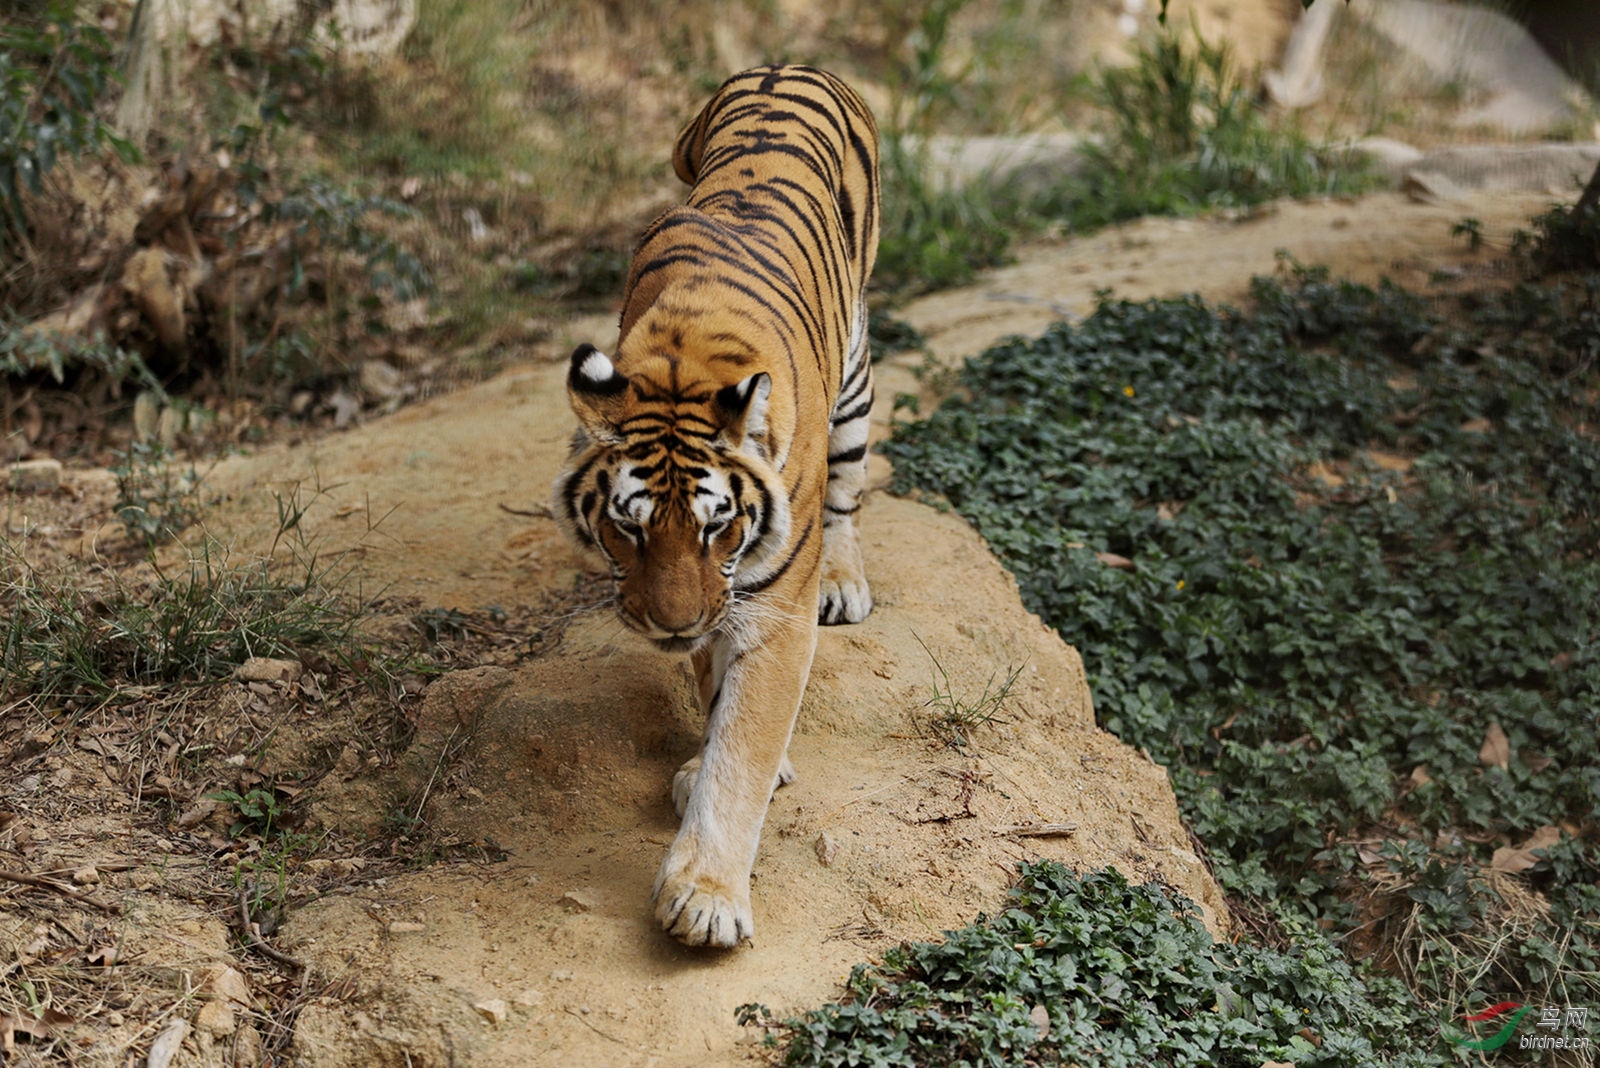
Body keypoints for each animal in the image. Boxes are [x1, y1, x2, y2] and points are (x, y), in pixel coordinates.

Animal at [547, 66, 876, 946]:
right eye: (626, 529)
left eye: (717, 525)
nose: (670, 623)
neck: (682, 362)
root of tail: (784, 67)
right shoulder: (713, 605)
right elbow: (713, 687)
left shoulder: (769, 607)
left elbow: (745, 740)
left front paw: (706, 897)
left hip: (856, 375)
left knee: (846, 491)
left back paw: (843, 580)